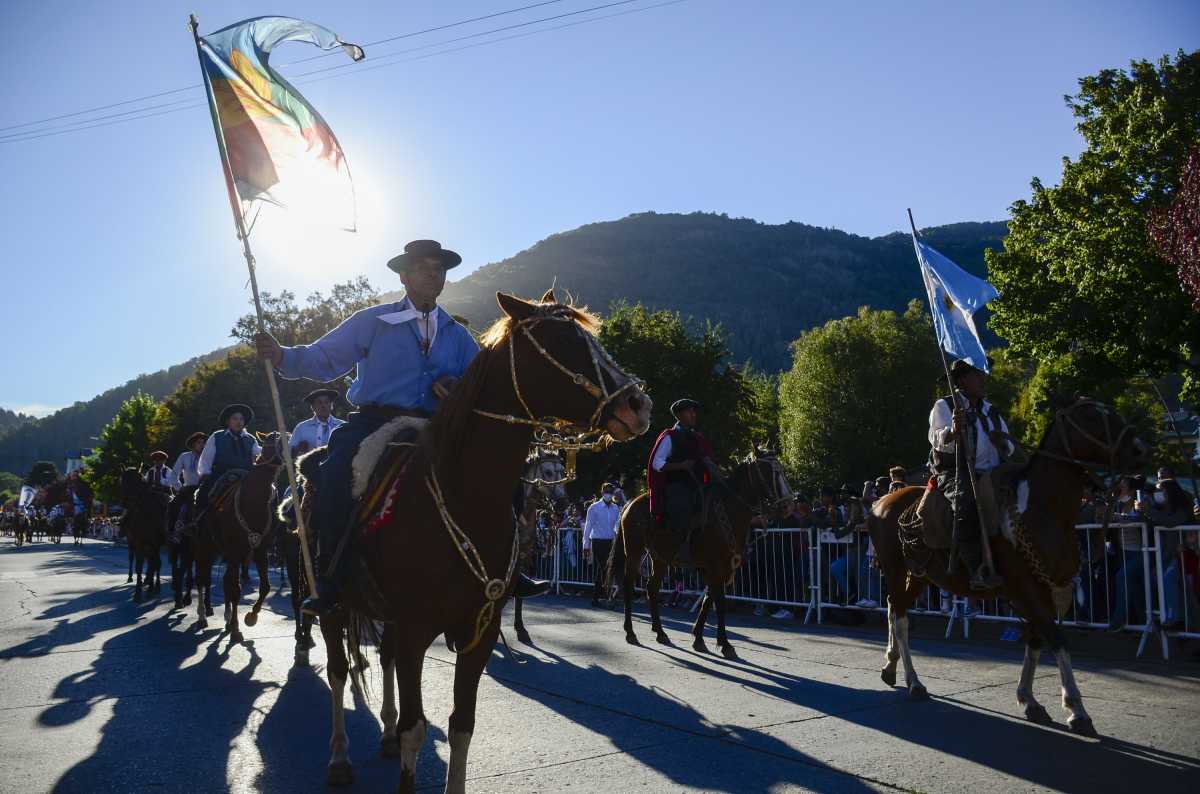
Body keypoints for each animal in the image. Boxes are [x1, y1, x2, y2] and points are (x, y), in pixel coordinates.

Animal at [193, 431, 284, 642]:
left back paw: (226, 619)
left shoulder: (259, 551)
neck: (252, 503)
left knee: (225, 581)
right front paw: (236, 629)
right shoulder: (235, 553)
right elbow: (235, 590)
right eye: (270, 442)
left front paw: (251, 616)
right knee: (202, 580)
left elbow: (265, 587)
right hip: (204, 550)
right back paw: (202, 616)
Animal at [319, 293, 652, 794]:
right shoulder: (417, 628)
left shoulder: (478, 630)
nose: (639, 404)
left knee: (385, 661)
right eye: (562, 340)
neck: (463, 497)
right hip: (329, 602)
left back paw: (384, 735)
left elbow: (461, 725)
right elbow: (416, 728)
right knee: (339, 671)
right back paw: (339, 757)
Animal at [609, 450, 796, 662]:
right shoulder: (716, 565)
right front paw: (725, 644)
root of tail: (629, 504)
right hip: (634, 551)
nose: (789, 505)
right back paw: (630, 632)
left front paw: (698, 638)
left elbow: (708, 599)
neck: (729, 510)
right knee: (628, 585)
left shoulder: (718, 567)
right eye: (769, 472)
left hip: (660, 558)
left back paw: (660, 632)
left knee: (652, 588)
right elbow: (719, 602)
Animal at [868, 398, 1147, 738]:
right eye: (1093, 418)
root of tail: (881, 502)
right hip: (896, 570)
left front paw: (1029, 700)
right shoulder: (1027, 589)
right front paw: (1076, 710)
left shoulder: (1045, 589)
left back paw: (891, 667)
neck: (1043, 508)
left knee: (895, 609)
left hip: (921, 574)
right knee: (900, 618)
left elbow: (1036, 641)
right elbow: (1057, 639)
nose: (1140, 449)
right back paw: (914, 682)